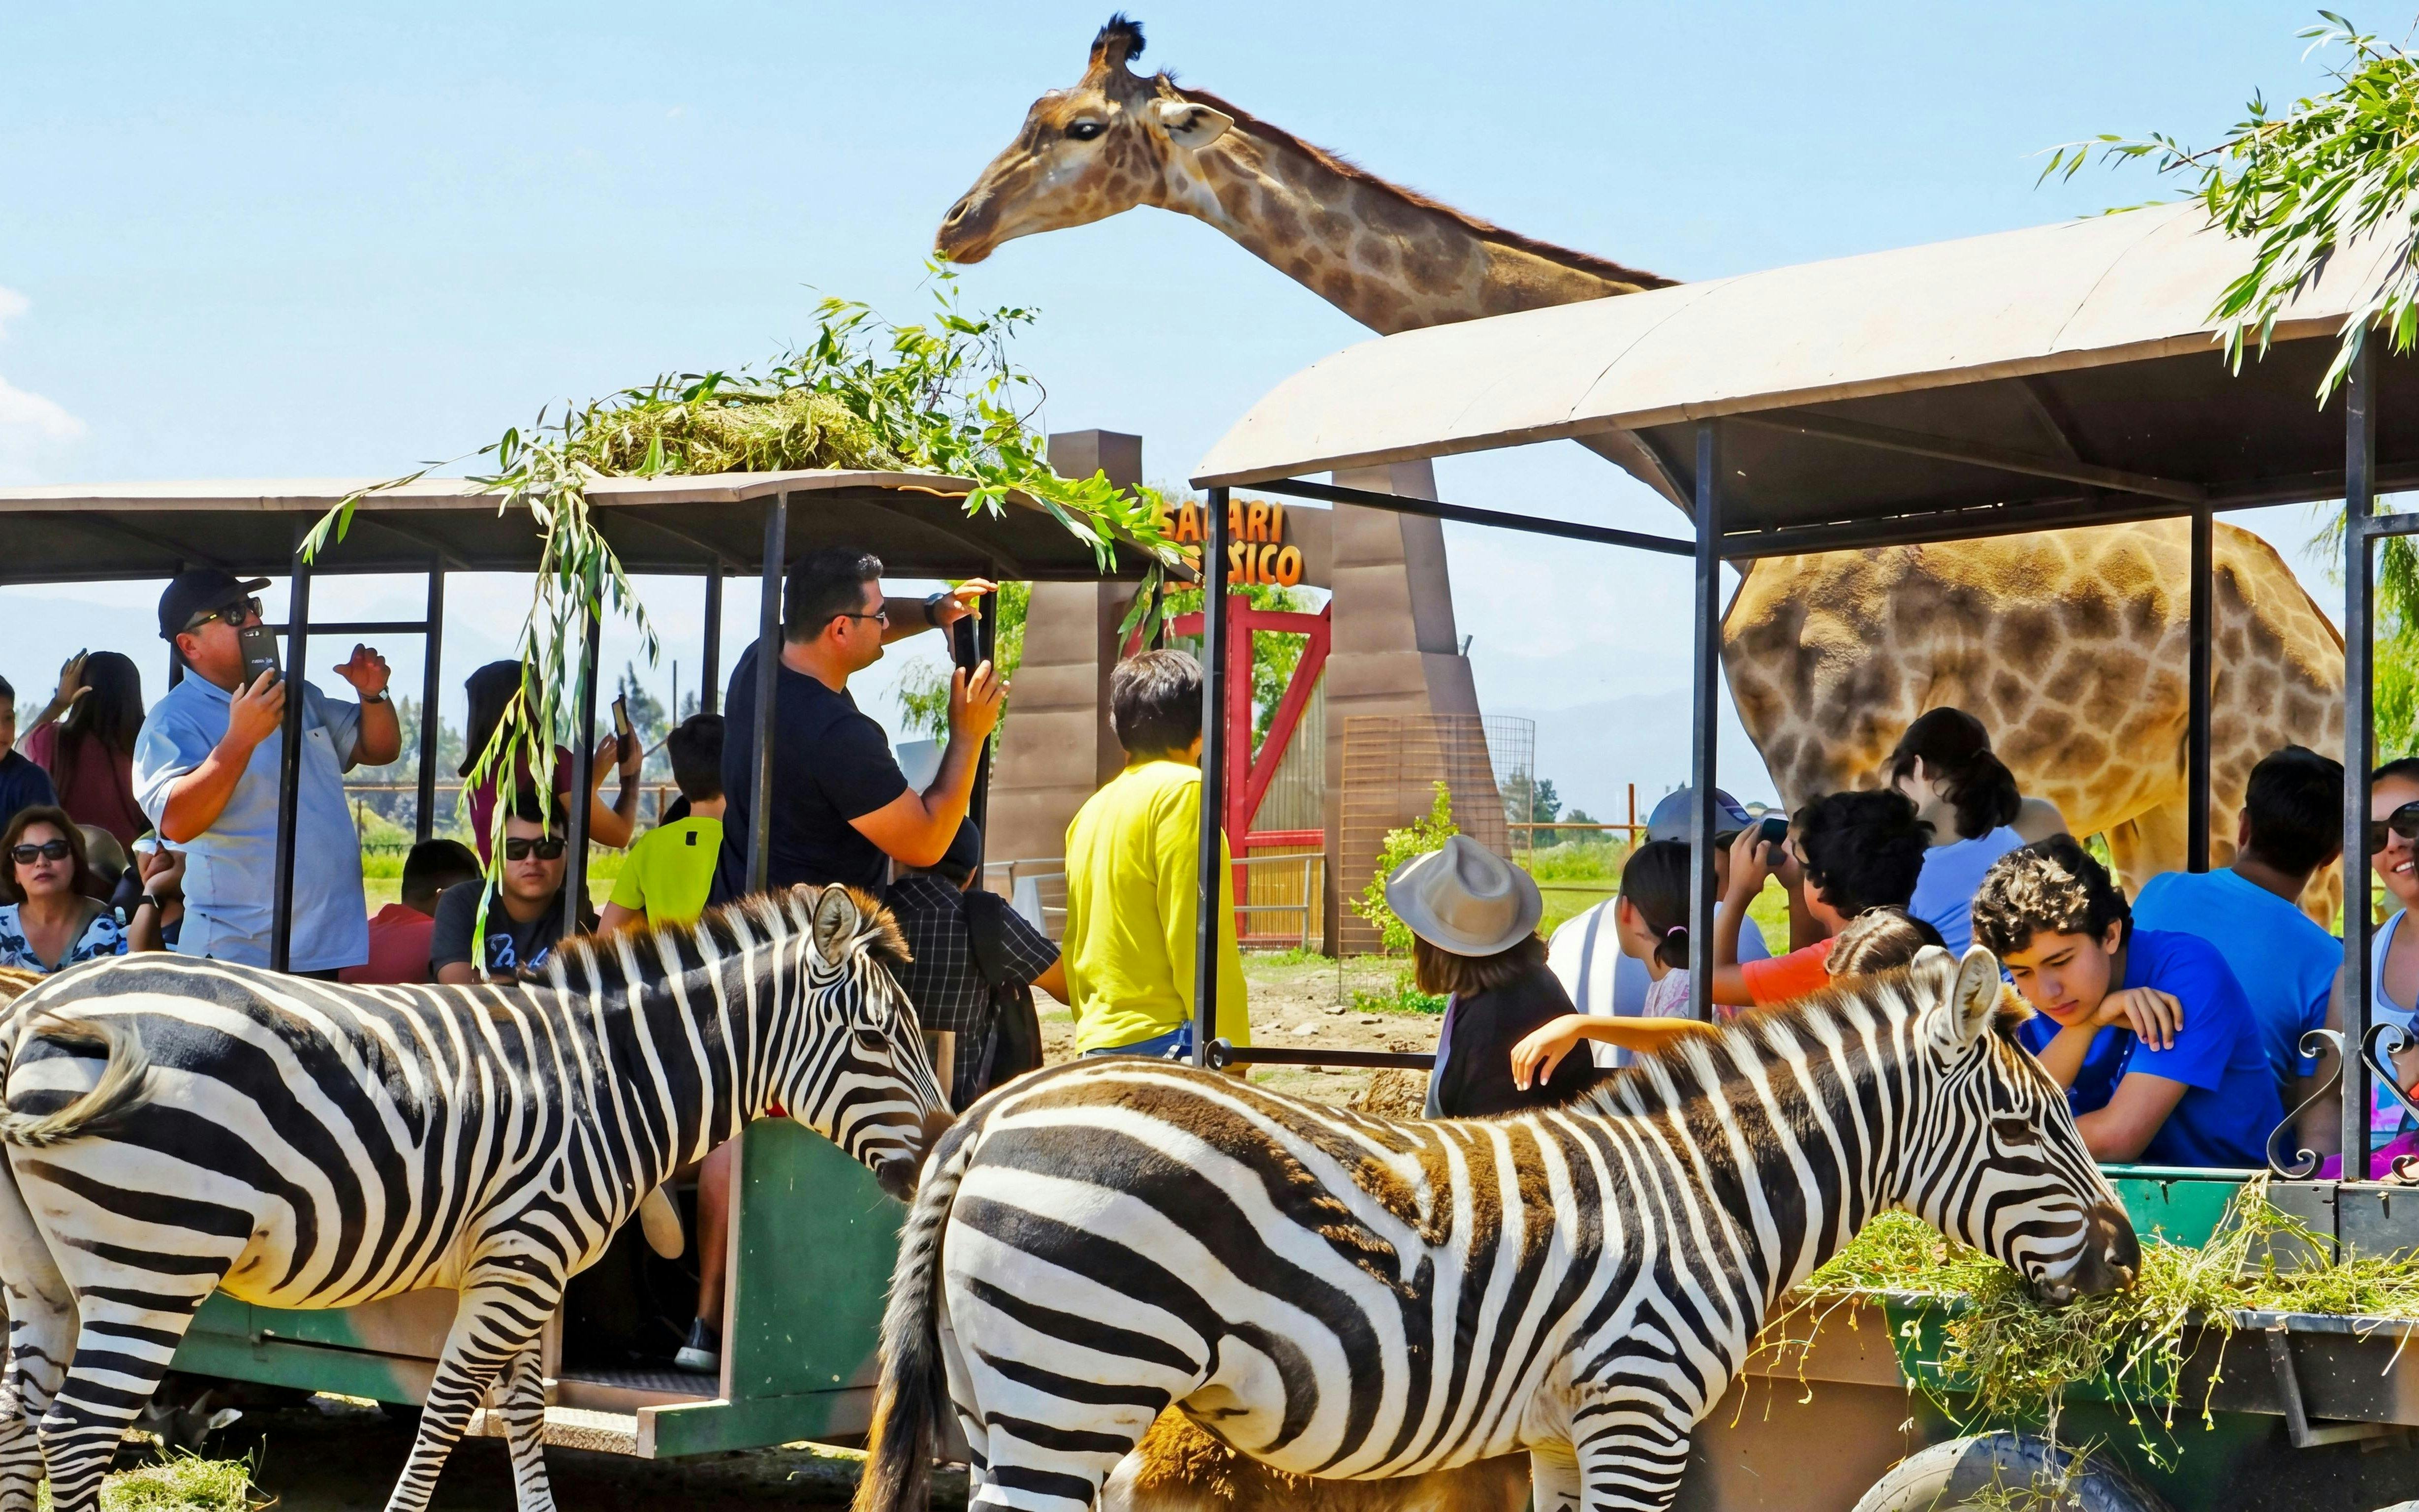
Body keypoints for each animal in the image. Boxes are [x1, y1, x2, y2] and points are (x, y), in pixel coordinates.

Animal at [0, 882, 948, 1512]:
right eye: (873, 1038)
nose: (944, 1147)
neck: (612, 1079)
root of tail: (35, 1006)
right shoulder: (523, 1262)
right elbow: (451, 1412)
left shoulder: (529, 1268)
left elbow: (523, 1412)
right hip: (156, 1257)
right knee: (76, 1437)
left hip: (46, 1272)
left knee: (21, 1423)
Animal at [854, 945, 2139, 1512]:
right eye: (2026, 1125)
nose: (2129, 1261)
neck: (1706, 1191)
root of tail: (994, 1112)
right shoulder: (1641, 1412)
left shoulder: (1567, 1432)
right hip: (1075, 1372)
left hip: (1006, 1390)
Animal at [938, 15, 2347, 913]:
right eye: (1025, 115)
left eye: (1077, 127)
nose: (956, 224)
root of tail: (2322, 630)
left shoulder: (1826, 745)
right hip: (2155, 793)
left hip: (2254, 770)